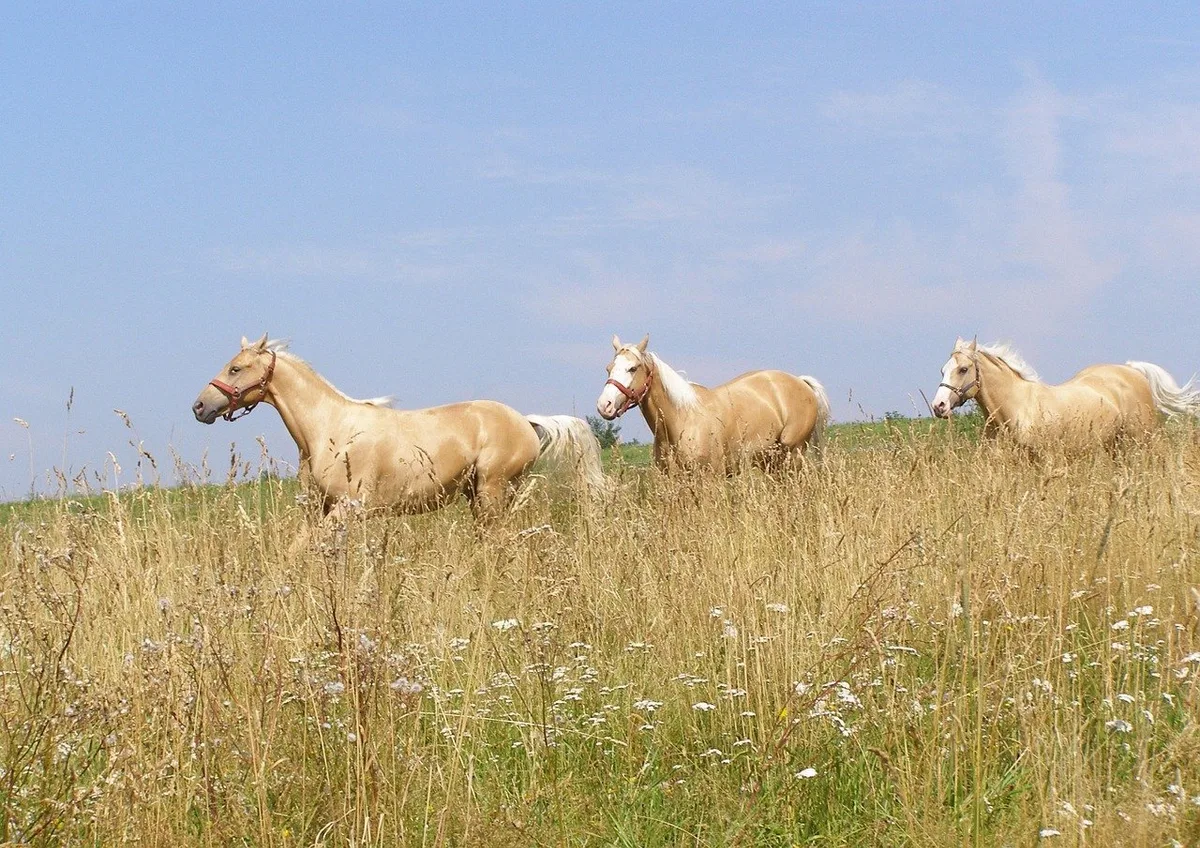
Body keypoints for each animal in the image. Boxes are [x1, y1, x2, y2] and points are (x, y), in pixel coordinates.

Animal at [192, 335, 605, 522]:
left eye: (235, 368)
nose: (199, 407)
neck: (328, 430)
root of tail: (526, 421)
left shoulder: (348, 509)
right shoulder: (324, 511)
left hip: (493, 491)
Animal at [594, 334, 830, 472]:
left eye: (632, 368)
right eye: (608, 368)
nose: (604, 405)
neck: (681, 419)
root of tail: (801, 382)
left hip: (792, 455)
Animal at [930, 337, 1200, 447]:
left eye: (963, 369)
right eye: (942, 370)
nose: (939, 406)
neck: (1016, 408)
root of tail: (1132, 370)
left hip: (1141, 441)